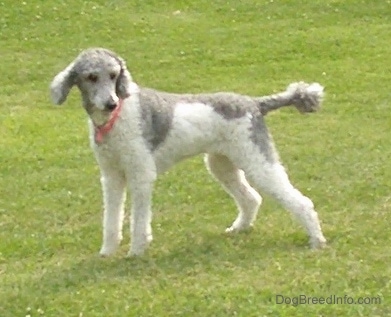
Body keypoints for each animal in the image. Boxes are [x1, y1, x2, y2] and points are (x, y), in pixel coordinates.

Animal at [51, 47, 328, 256]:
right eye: (91, 77)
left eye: (113, 74)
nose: (110, 103)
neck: (117, 117)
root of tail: (255, 103)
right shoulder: (112, 176)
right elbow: (111, 218)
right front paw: (107, 252)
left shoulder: (140, 174)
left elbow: (139, 220)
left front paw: (136, 251)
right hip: (222, 164)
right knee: (251, 198)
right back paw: (239, 229)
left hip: (258, 160)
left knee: (301, 202)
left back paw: (316, 241)